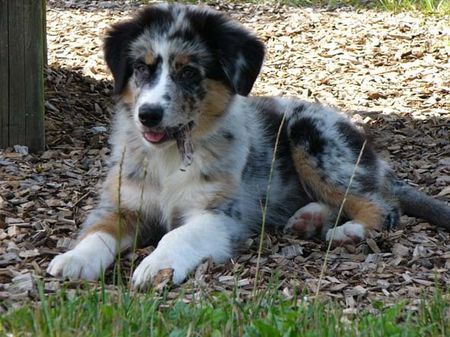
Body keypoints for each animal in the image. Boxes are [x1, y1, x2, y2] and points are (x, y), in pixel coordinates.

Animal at [46, 2, 450, 288]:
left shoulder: (219, 215)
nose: (148, 115)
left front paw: (157, 265)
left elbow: (177, 235)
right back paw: (307, 219)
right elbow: (98, 231)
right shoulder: (123, 203)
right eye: (143, 68)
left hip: (312, 138)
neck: (169, 156)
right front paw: (75, 260)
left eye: (188, 71)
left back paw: (348, 231)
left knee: (383, 205)